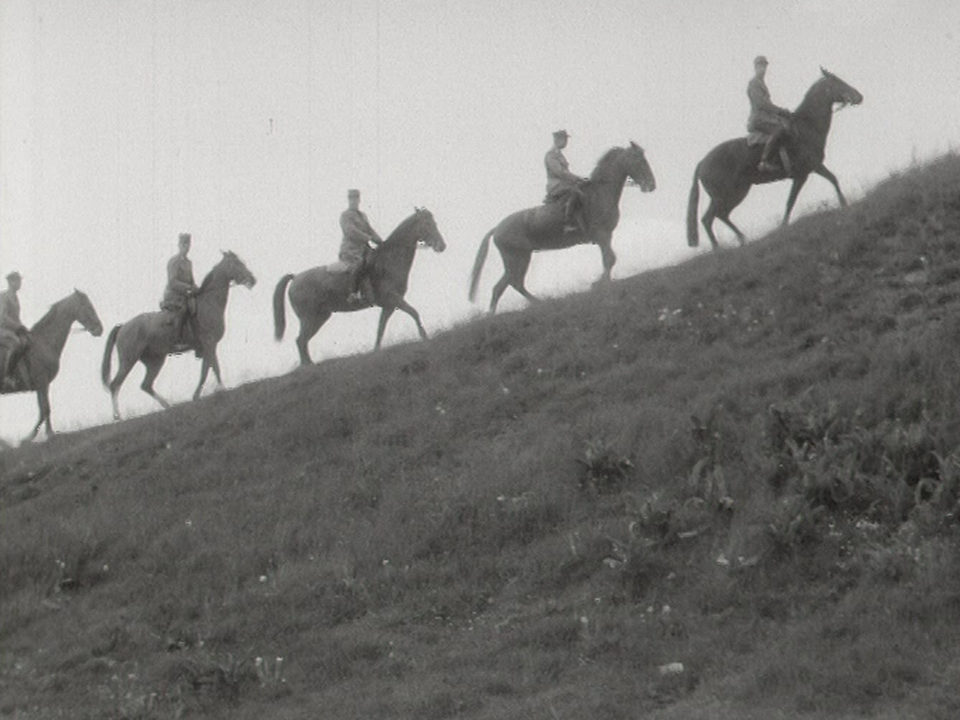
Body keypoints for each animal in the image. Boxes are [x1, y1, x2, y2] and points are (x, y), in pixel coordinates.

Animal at [0, 290, 103, 442]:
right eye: (88, 306)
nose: (99, 329)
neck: (44, 343)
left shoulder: (44, 384)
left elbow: (45, 409)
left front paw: (45, 434)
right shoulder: (42, 382)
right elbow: (44, 409)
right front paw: (33, 436)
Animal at [101, 249, 255, 420]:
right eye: (236, 263)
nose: (252, 280)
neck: (209, 303)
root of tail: (123, 326)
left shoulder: (208, 346)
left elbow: (206, 370)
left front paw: (197, 395)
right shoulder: (209, 342)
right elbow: (214, 366)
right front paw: (221, 388)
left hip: (155, 360)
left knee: (146, 385)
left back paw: (167, 405)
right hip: (128, 360)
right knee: (115, 384)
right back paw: (117, 416)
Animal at [274, 207, 446, 366]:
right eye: (427, 224)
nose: (442, 246)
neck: (389, 261)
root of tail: (295, 277)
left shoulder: (389, 306)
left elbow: (381, 329)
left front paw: (376, 352)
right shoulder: (393, 299)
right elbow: (414, 313)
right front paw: (425, 338)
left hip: (320, 317)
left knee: (303, 341)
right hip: (308, 318)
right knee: (300, 340)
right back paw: (307, 367)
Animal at [468, 142, 656, 314]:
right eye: (639, 160)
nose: (651, 185)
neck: (599, 193)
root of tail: (497, 228)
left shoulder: (607, 236)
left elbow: (609, 259)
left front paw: (604, 282)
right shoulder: (602, 235)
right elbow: (609, 259)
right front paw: (599, 284)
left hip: (518, 258)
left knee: (507, 285)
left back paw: (528, 305)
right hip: (516, 258)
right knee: (511, 283)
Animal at [688, 68, 868, 248]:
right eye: (838, 82)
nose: (859, 96)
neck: (806, 128)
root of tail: (702, 163)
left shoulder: (816, 167)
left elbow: (833, 179)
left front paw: (844, 204)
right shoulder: (802, 175)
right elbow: (790, 201)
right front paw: (783, 226)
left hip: (736, 192)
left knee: (720, 215)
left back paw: (741, 239)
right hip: (726, 195)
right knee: (709, 218)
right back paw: (719, 247)